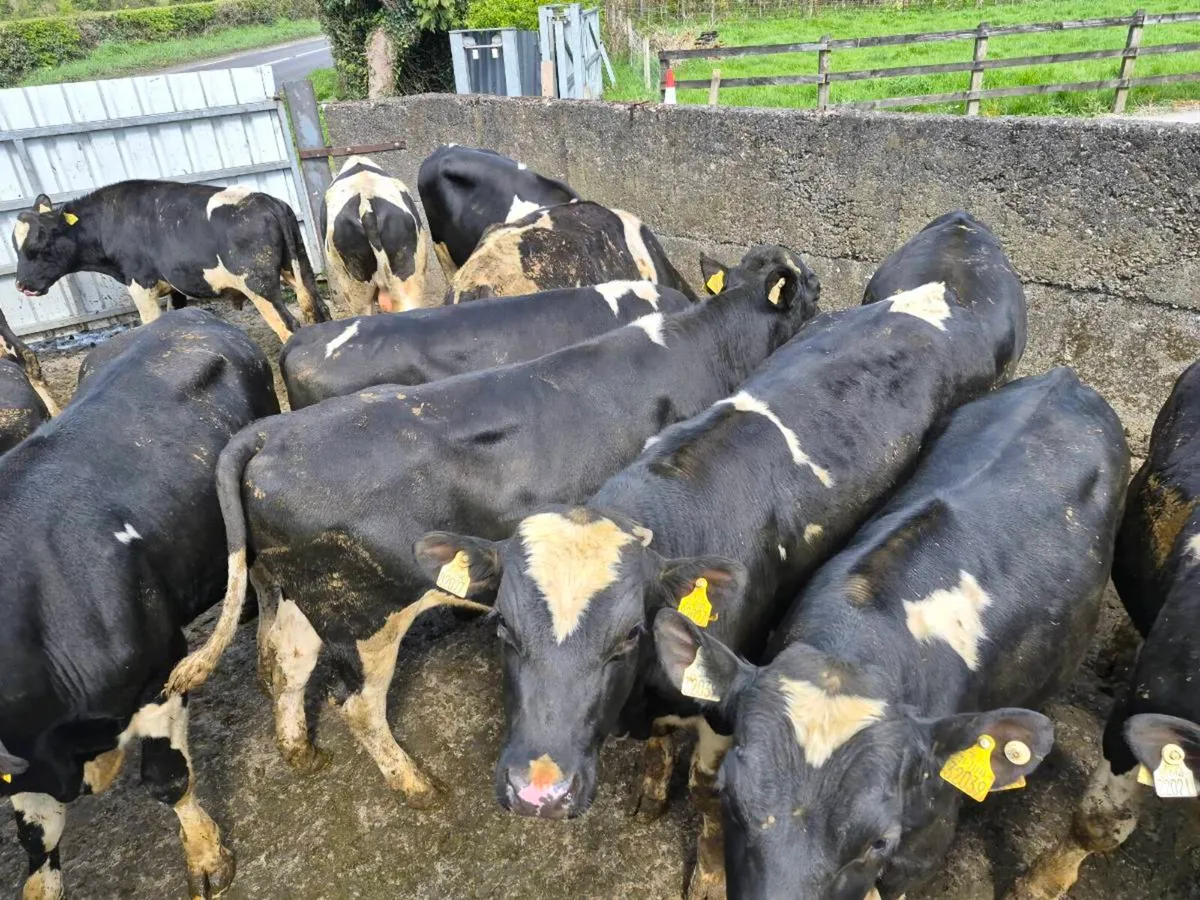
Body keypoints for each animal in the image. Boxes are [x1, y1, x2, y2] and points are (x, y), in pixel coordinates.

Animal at [11, 181, 330, 343]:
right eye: (15, 245)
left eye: (39, 244)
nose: (21, 285)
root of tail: (266, 200)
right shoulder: (174, 289)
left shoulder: (140, 285)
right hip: (298, 268)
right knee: (319, 309)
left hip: (259, 286)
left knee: (288, 325)